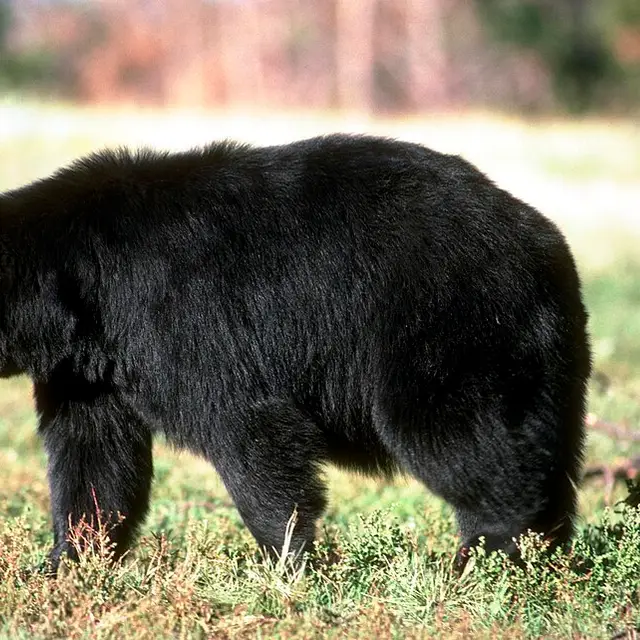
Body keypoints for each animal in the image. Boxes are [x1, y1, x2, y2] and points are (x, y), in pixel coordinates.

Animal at [0, 134, 591, 572]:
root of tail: (543, 240)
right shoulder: (88, 371)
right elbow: (94, 455)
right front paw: (69, 562)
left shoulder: (174, 315)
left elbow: (246, 427)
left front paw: (288, 561)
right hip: (542, 353)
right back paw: (544, 553)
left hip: (447, 321)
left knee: (457, 437)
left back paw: (489, 556)